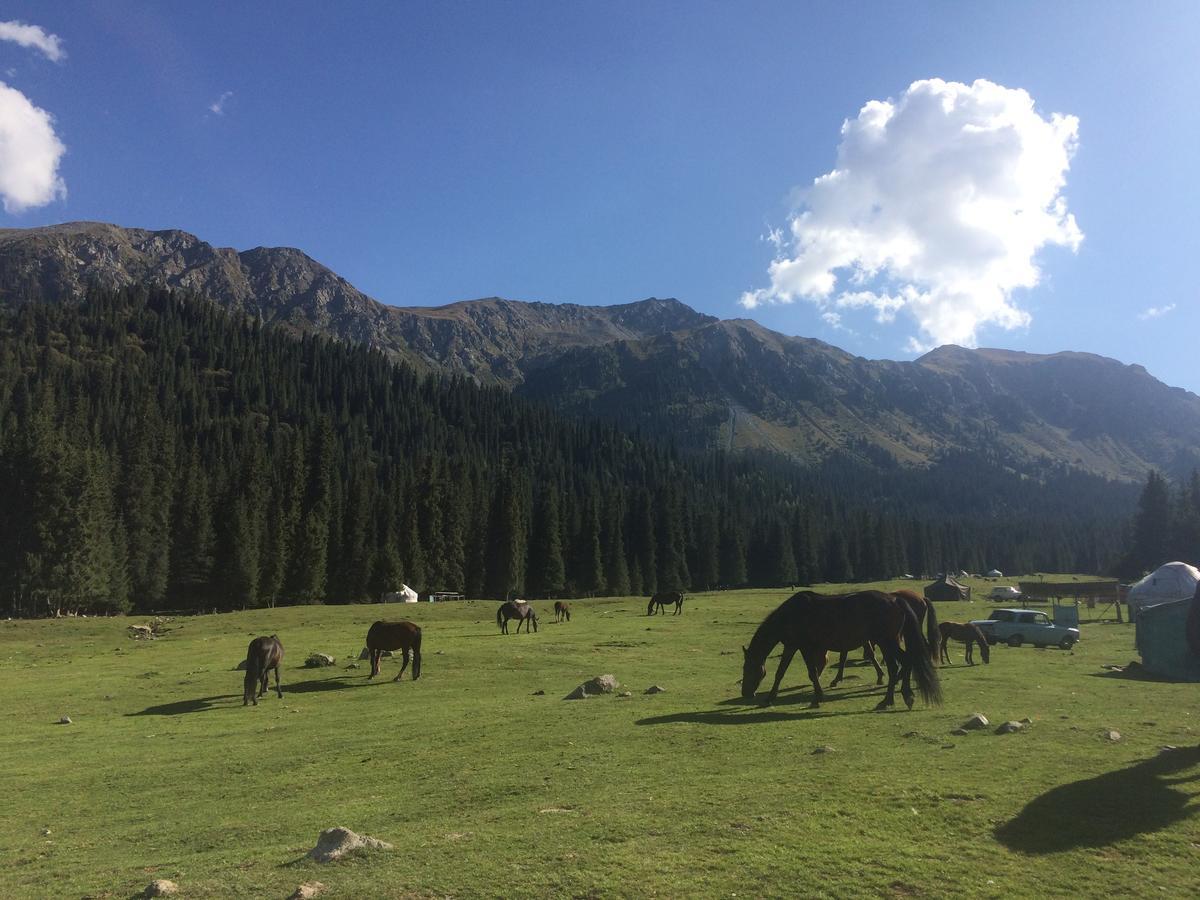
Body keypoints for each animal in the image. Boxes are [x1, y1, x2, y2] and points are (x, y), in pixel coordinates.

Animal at [734, 592, 940, 710]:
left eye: (748, 669)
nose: (745, 693)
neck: (790, 615)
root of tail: (897, 600)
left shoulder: (804, 646)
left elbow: (811, 672)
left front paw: (817, 698)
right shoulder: (792, 646)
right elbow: (780, 672)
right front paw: (770, 698)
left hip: (887, 641)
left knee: (901, 663)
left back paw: (894, 698)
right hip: (889, 641)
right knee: (900, 663)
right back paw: (897, 698)